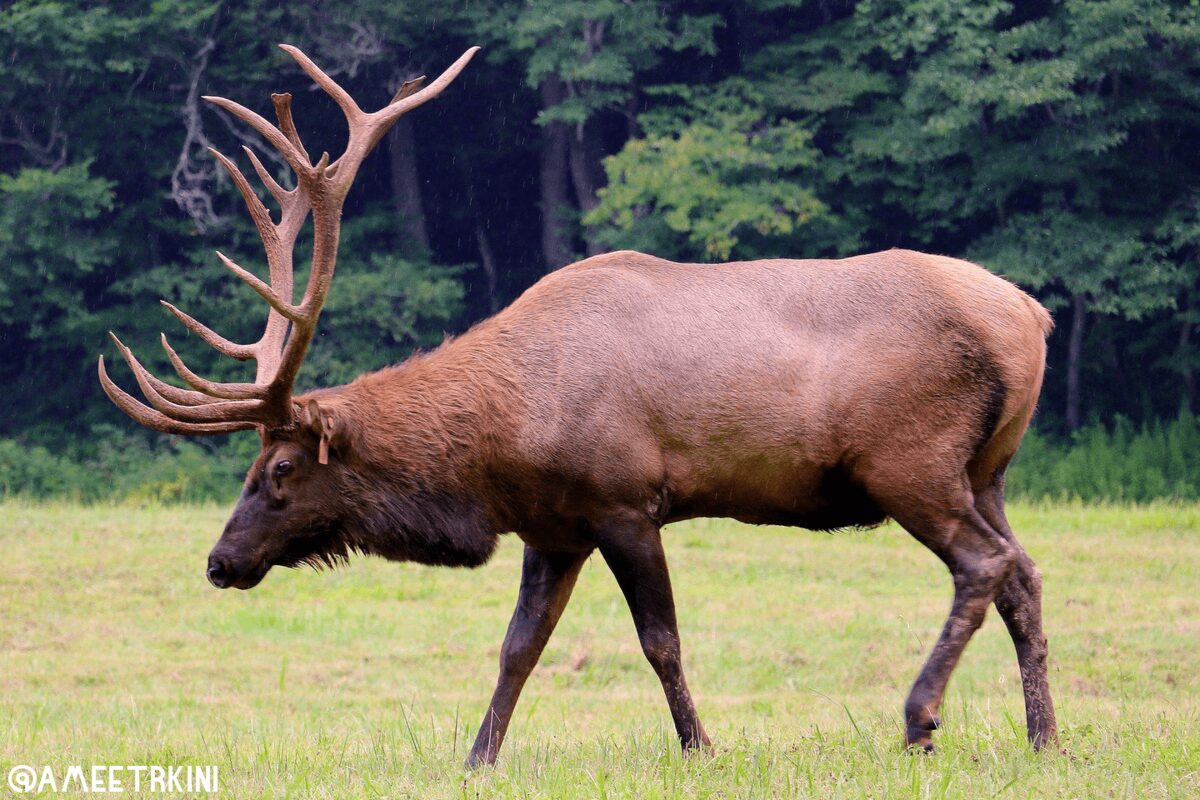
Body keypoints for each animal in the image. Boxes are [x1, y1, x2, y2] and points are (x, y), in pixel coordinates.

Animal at [99, 43, 1058, 766]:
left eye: (280, 468)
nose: (220, 561)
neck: (500, 445)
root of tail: (1033, 318)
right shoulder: (553, 525)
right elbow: (518, 647)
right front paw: (477, 759)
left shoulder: (624, 500)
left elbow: (660, 640)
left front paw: (701, 748)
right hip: (988, 469)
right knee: (1024, 571)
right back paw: (1045, 736)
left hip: (909, 460)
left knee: (983, 565)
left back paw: (920, 718)